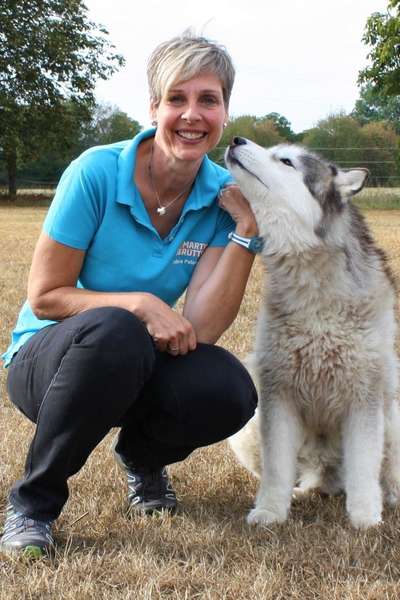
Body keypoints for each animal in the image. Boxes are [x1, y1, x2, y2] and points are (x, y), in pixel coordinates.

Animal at [225, 137, 400, 528]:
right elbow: (277, 468)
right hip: (249, 429)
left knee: (384, 470)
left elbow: (365, 467)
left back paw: (391, 496)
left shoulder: (364, 398)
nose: (236, 140)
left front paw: (365, 517)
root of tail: (327, 475)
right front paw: (270, 511)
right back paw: (303, 491)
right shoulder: (278, 395)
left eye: (286, 161)